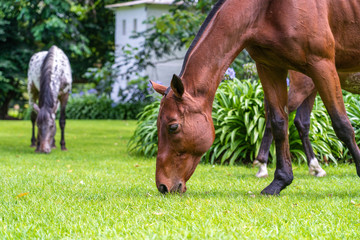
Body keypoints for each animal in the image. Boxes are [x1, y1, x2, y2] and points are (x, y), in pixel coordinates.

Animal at [150, 0, 360, 195]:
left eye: (173, 127)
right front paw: (279, 181)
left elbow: (341, 124)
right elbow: (278, 123)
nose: (163, 186)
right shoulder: (270, 67)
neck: (266, 9)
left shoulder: (322, 65)